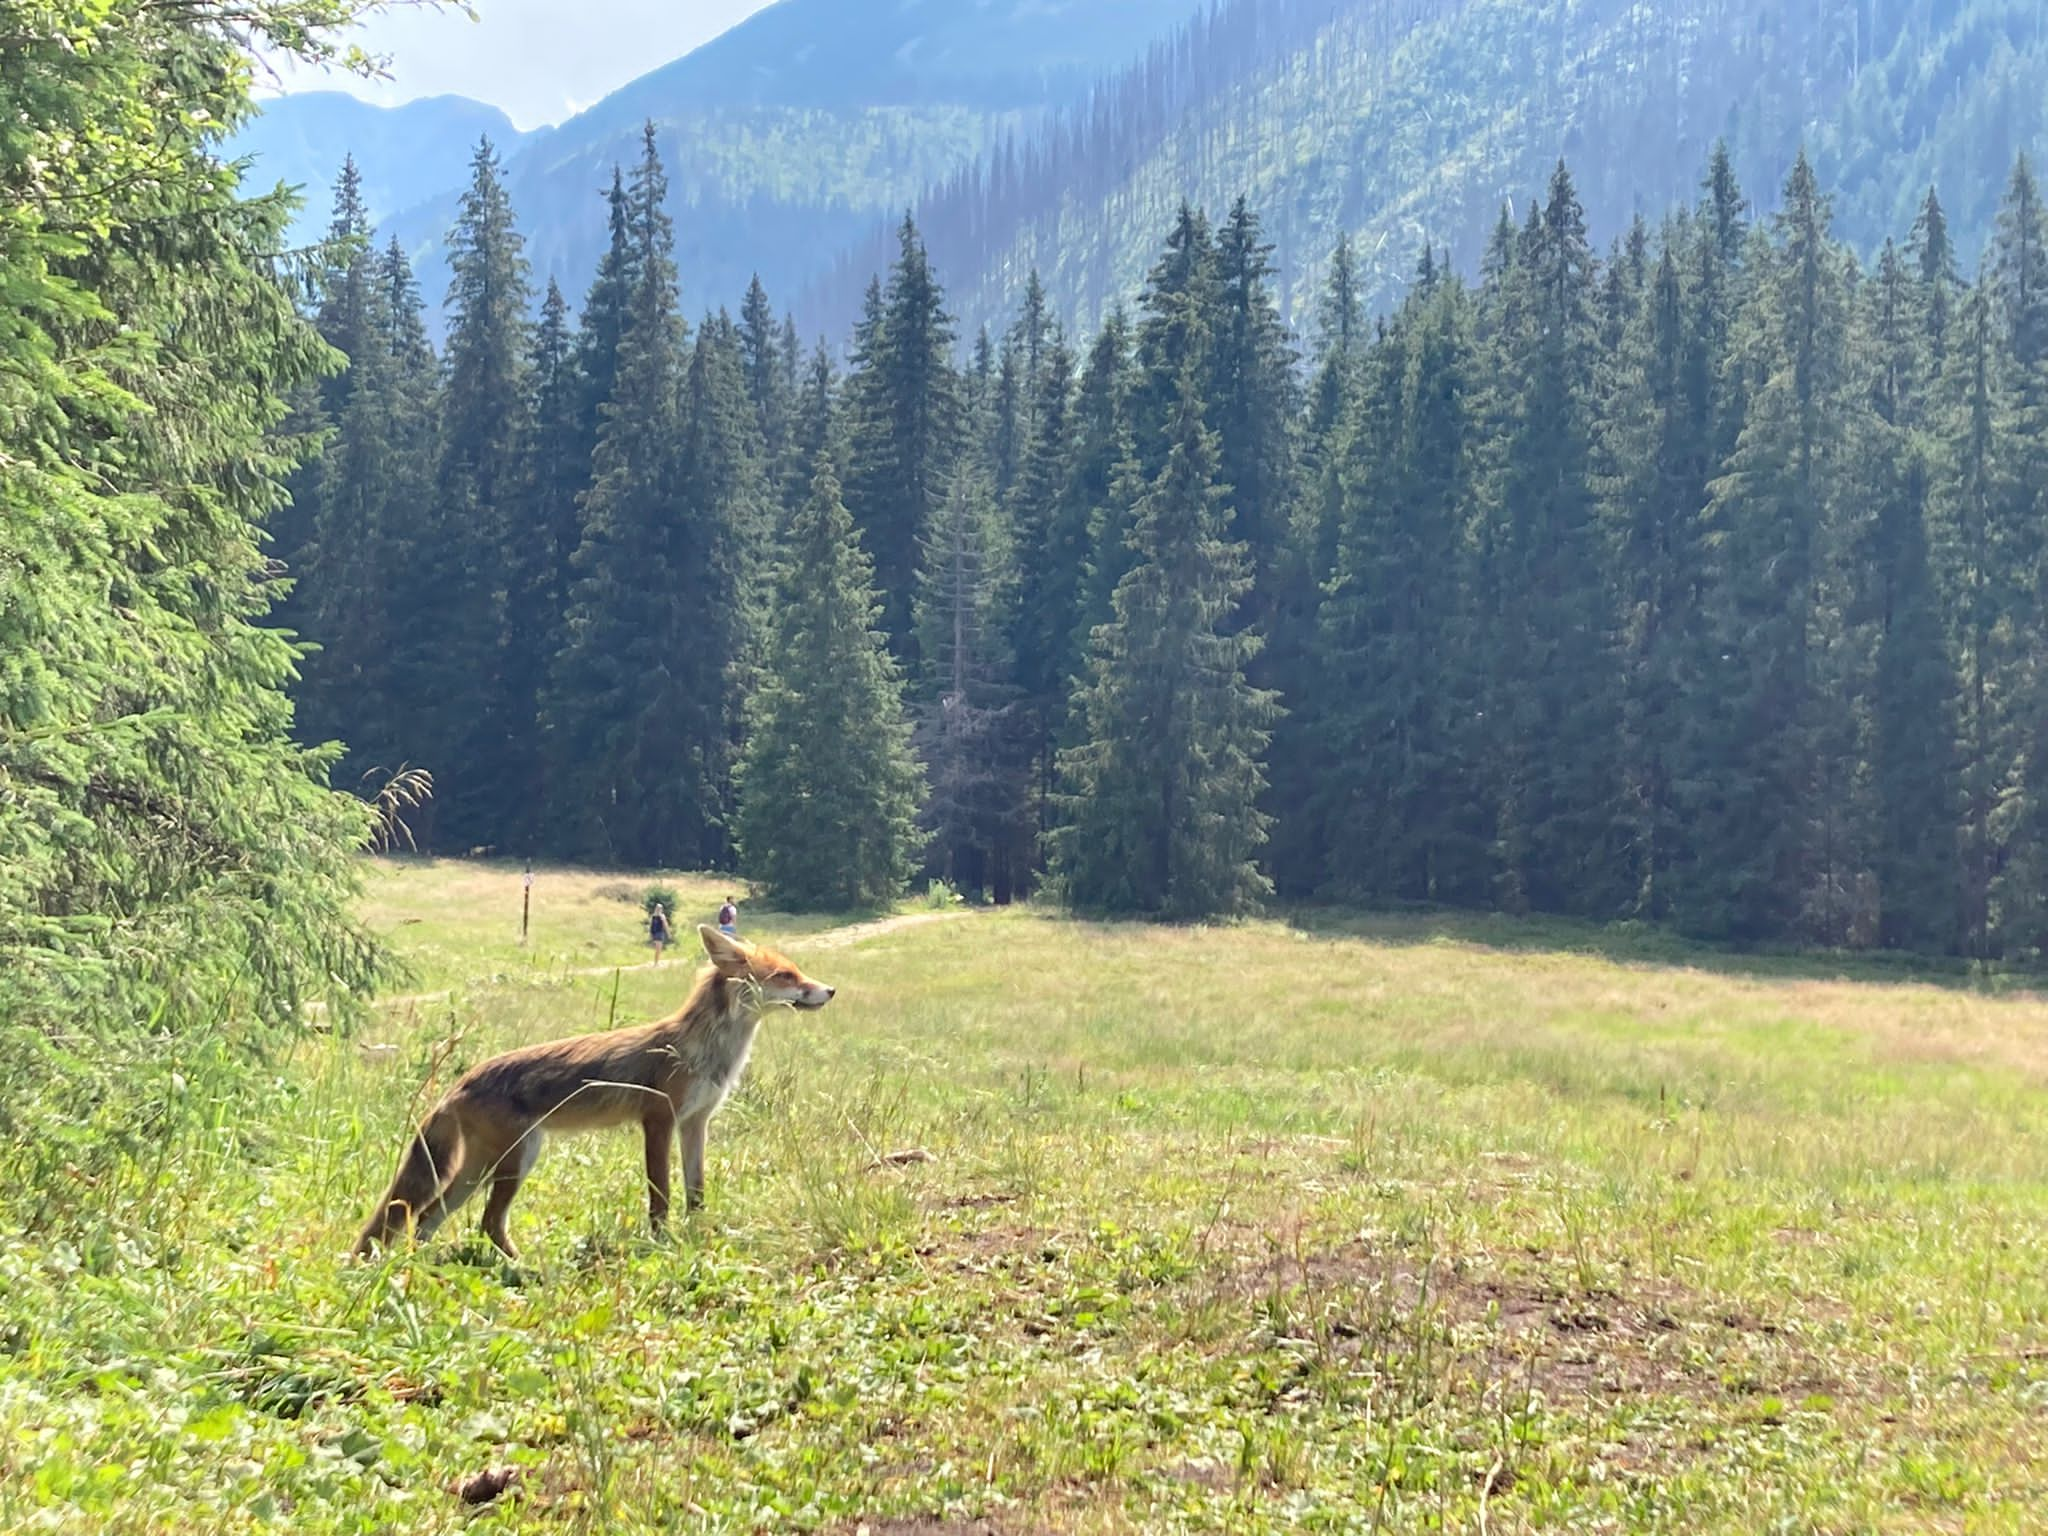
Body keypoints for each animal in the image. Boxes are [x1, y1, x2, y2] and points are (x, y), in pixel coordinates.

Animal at [356, 925, 835, 1261]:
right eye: (786, 975)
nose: (830, 990)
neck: (704, 1052)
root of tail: (461, 1080)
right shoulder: (658, 1120)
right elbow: (660, 1193)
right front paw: (662, 1243)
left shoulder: (696, 1123)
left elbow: (696, 1192)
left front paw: (700, 1234)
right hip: (519, 1158)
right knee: (485, 1223)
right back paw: (527, 1268)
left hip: (481, 1168)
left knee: (425, 1217)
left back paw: (420, 1267)